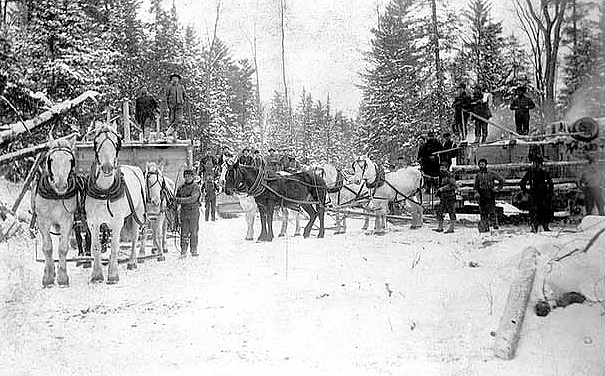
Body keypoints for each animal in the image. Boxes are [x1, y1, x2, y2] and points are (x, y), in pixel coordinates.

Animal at [32, 135, 81, 288]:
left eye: (70, 160)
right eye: (51, 160)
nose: (61, 185)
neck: (55, 195)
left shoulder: (67, 220)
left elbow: (62, 248)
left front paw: (63, 278)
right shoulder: (42, 221)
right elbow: (47, 248)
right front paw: (48, 277)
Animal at [85, 122, 147, 284]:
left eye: (117, 142)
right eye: (96, 142)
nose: (107, 167)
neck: (105, 191)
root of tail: (135, 168)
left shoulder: (117, 222)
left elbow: (114, 246)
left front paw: (113, 275)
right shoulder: (92, 222)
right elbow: (95, 246)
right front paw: (97, 275)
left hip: (138, 213)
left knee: (135, 237)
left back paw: (132, 262)